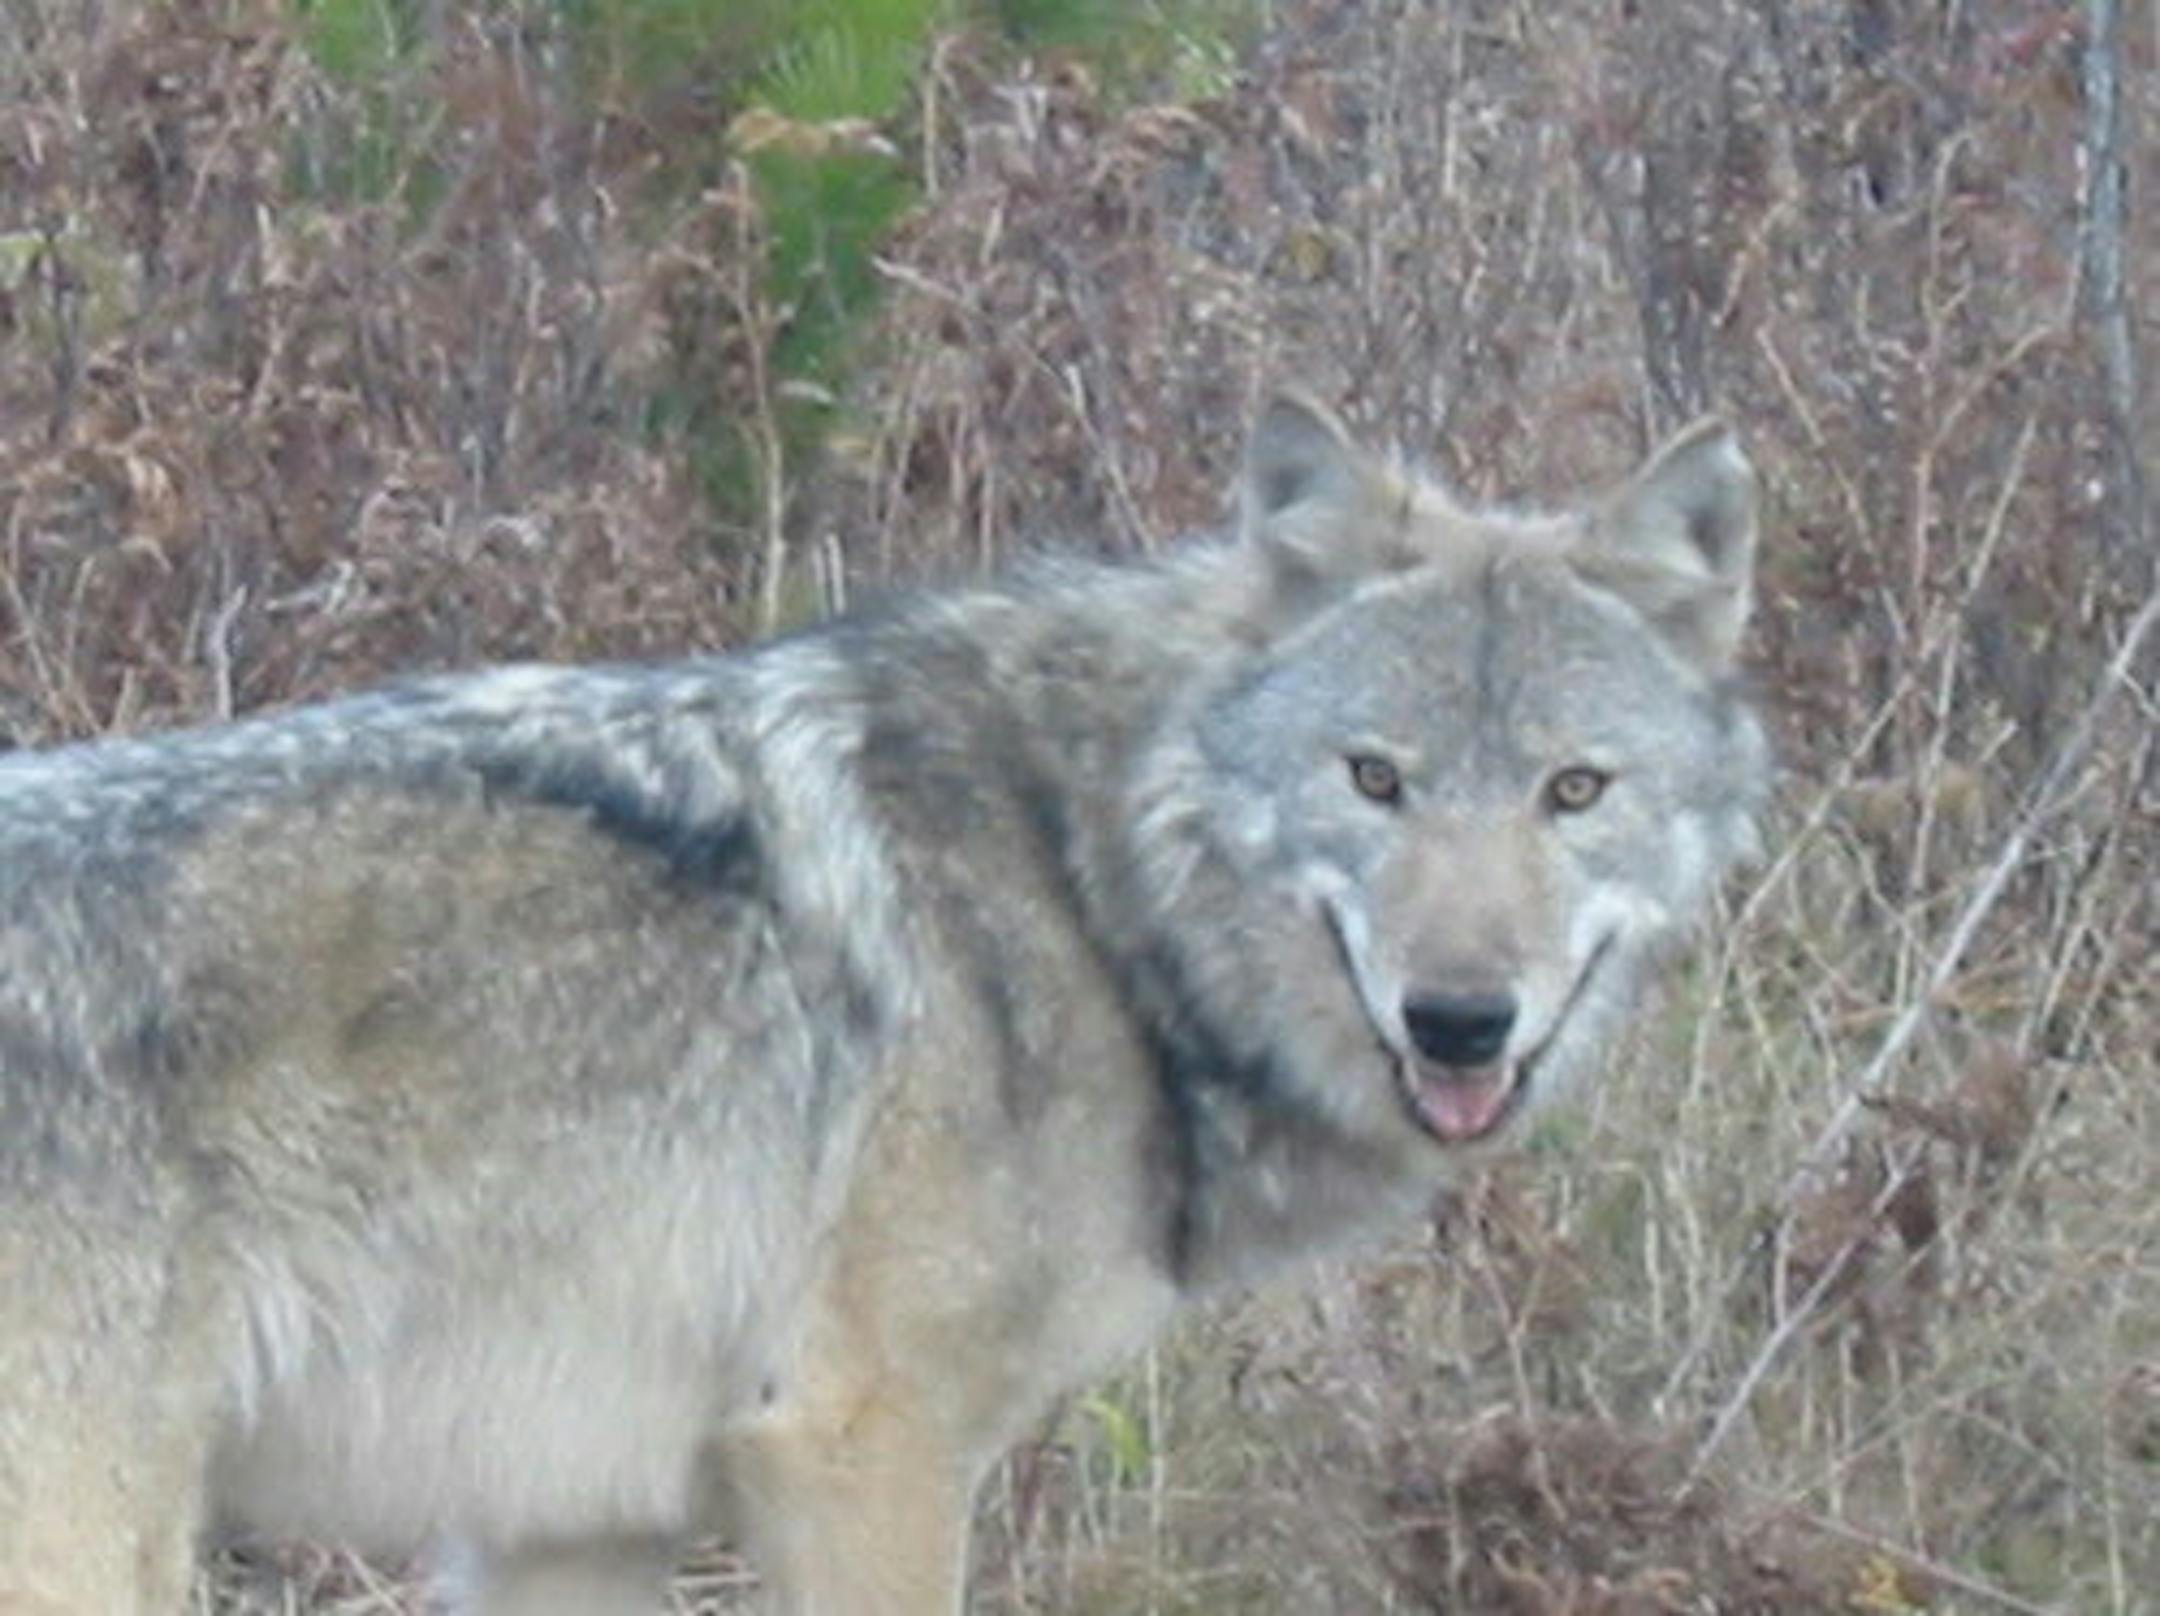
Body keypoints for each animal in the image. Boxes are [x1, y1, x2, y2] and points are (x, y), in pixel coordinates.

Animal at [0, 395, 1766, 1615]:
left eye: (1574, 790)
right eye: (1375, 780)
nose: (1460, 1019)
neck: (1089, 883)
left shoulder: (576, 1518)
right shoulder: (864, 1448)